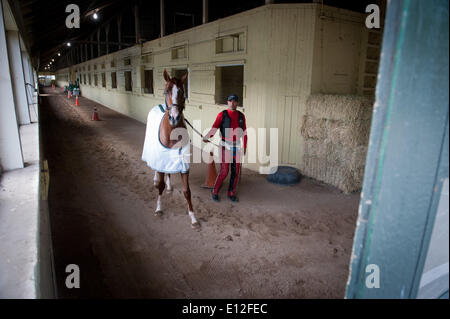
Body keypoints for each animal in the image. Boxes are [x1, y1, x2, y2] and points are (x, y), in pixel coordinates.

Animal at [142, 70, 199, 230]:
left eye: (182, 91)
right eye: (166, 91)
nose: (174, 117)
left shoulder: (184, 164)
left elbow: (187, 191)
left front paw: (193, 218)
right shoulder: (162, 158)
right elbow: (160, 186)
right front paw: (158, 208)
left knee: (167, 173)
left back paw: (169, 186)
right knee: (157, 169)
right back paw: (156, 179)